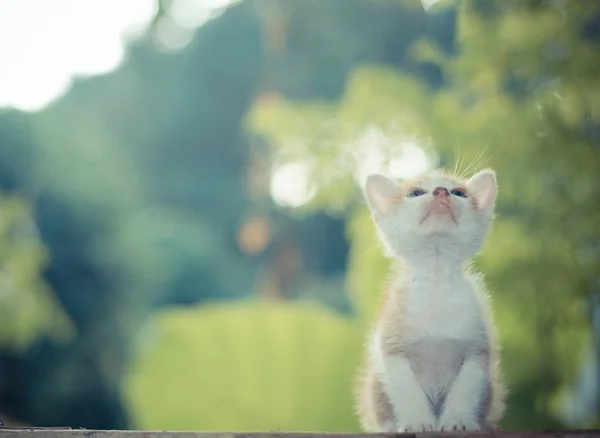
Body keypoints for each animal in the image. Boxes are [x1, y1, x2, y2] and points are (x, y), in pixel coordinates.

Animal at [356, 168, 506, 432]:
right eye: (415, 193)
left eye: (459, 193)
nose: (441, 191)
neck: (436, 281)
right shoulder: (392, 345)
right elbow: (406, 388)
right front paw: (417, 421)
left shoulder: (477, 347)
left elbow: (466, 388)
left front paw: (457, 420)